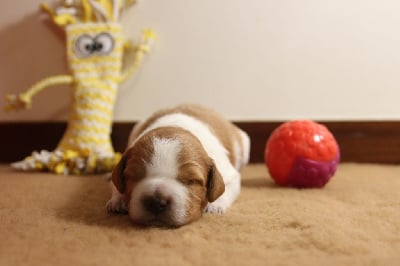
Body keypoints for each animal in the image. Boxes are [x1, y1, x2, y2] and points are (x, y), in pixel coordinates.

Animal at [106, 104, 250, 227]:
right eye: (133, 177)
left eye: (191, 181)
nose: (156, 202)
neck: (175, 126)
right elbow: (116, 183)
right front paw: (118, 200)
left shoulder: (229, 174)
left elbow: (225, 190)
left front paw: (214, 206)